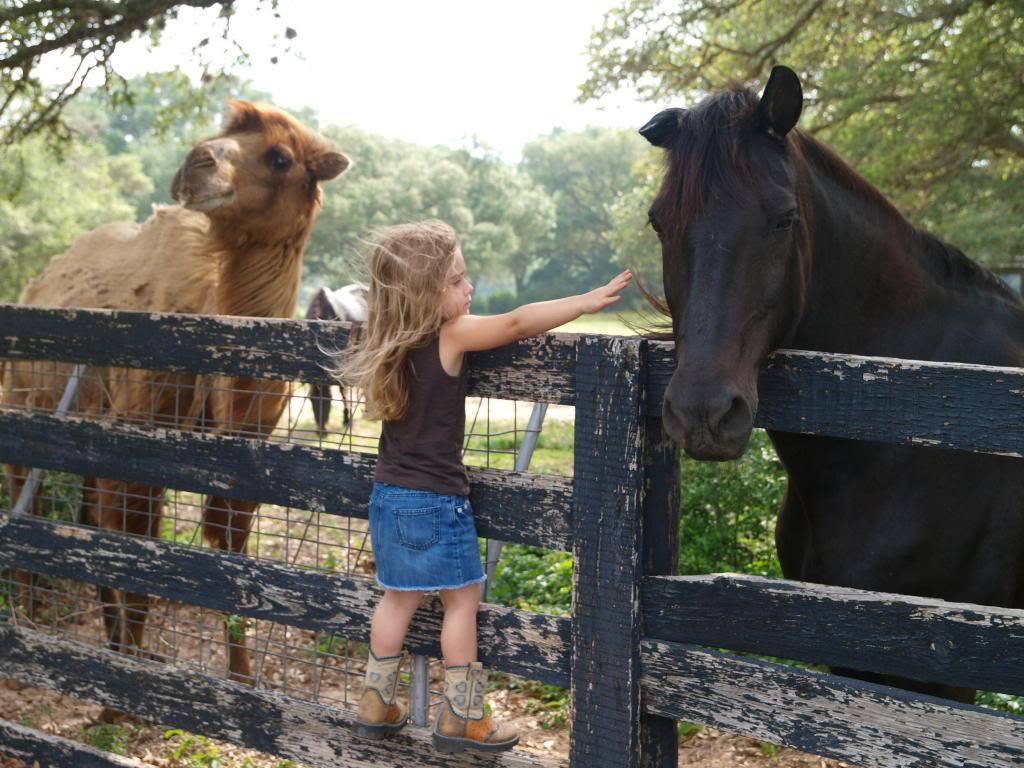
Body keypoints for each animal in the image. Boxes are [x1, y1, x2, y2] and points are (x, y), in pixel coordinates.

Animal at [3, 99, 352, 684]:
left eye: (280, 157)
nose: (196, 161)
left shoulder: (247, 462)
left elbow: (230, 562)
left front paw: (241, 676)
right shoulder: (141, 440)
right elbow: (141, 562)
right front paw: (129, 677)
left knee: (88, 518)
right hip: (24, 408)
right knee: (30, 501)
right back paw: (29, 618)